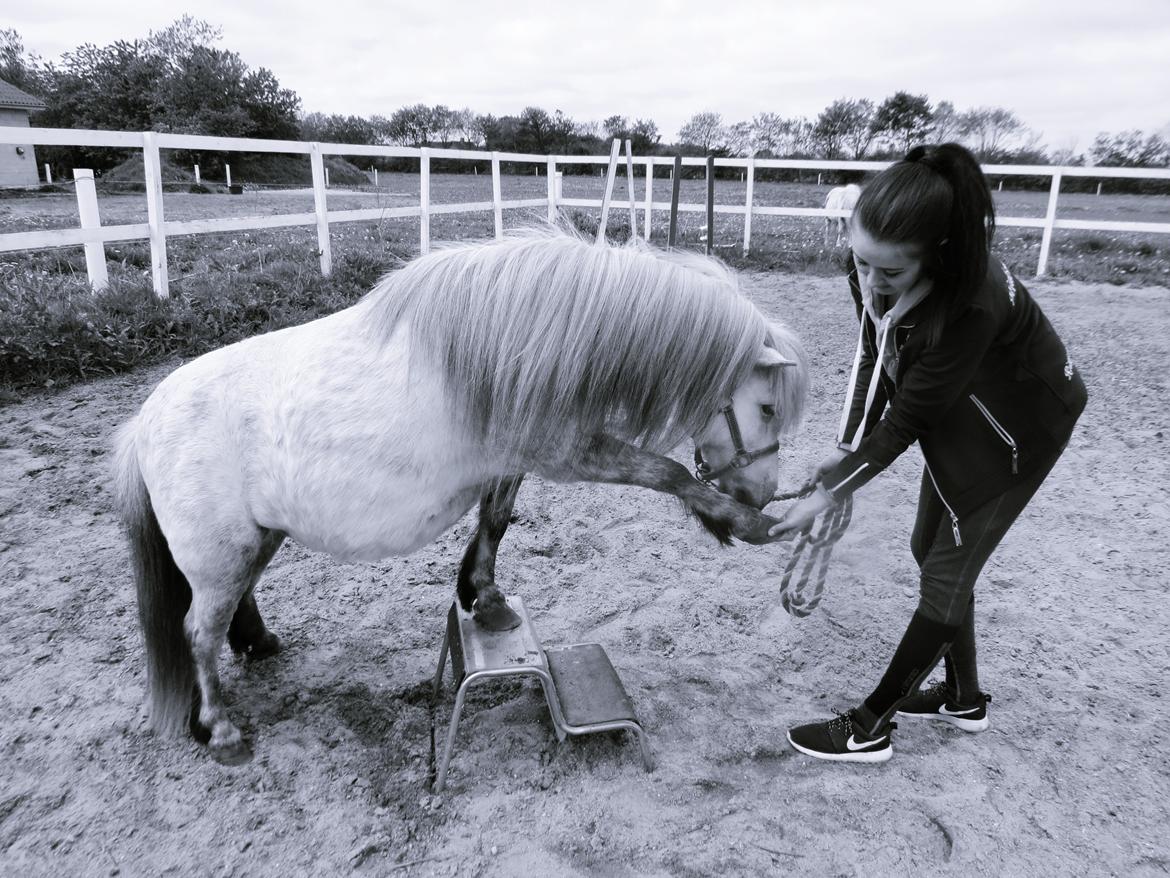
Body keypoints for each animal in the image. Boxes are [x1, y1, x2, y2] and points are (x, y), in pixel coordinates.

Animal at [112, 226, 809, 764]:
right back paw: (221, 730)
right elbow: (667, 473)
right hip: (221, 554)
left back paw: (258, 645)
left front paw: (484, 597)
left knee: (235, 604)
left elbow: (496, 519)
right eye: (767, 407)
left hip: (255, 539)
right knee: (198, 630)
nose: (762, 495)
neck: (529, 338)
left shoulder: (511, 454)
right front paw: (738, 523)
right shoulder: (566, 452)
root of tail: (142, 422)